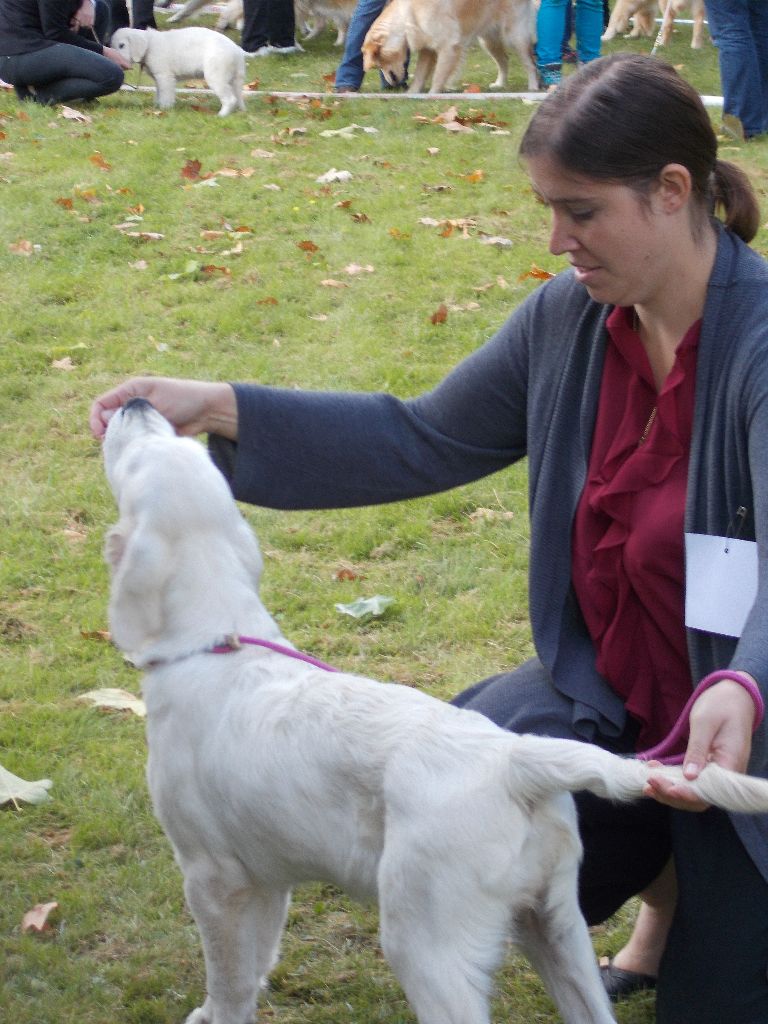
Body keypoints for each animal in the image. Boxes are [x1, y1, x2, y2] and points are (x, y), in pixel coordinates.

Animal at [112, 26, 244, 115]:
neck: (150, 45)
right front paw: (157, 106)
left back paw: (221, 115)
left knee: (230, 99)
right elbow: (159, 92)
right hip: (236, 79)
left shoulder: (165, 77)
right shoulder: (159, 79)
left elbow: (165, 95)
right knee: (238, 97)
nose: (117, 63)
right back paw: (240, 112)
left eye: (122, 45)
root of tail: (237, 50)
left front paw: (164, 109)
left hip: (216, 77)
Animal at [362, 0, 536, 94]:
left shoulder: (448, 45)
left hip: (515, 37)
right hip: (488, 41)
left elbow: (439, 75)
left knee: (531, 63)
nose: (391, 84)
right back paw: (500, 84)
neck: (407, 17)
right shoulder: (427, 49)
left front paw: (433, 94)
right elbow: (419, 75)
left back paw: (533, 87)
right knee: (504, 61)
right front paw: (413, 93)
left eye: (379, 63)